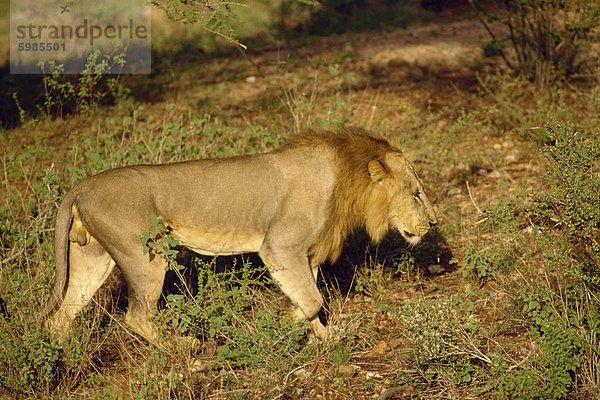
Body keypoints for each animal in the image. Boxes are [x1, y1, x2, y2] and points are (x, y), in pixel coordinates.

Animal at [43, 126, 436, 342]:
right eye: (416, 193)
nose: (433, 223)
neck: (344, 178)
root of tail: (80, 187)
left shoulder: (305, 253)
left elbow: (310, 297)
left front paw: (321, 336)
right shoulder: (280, 246)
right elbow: (314, 300)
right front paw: (289, 323)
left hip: (92, 256)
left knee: (62, 315)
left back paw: (60, 359)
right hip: (145, 256)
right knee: (137, 317)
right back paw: (188, 352)